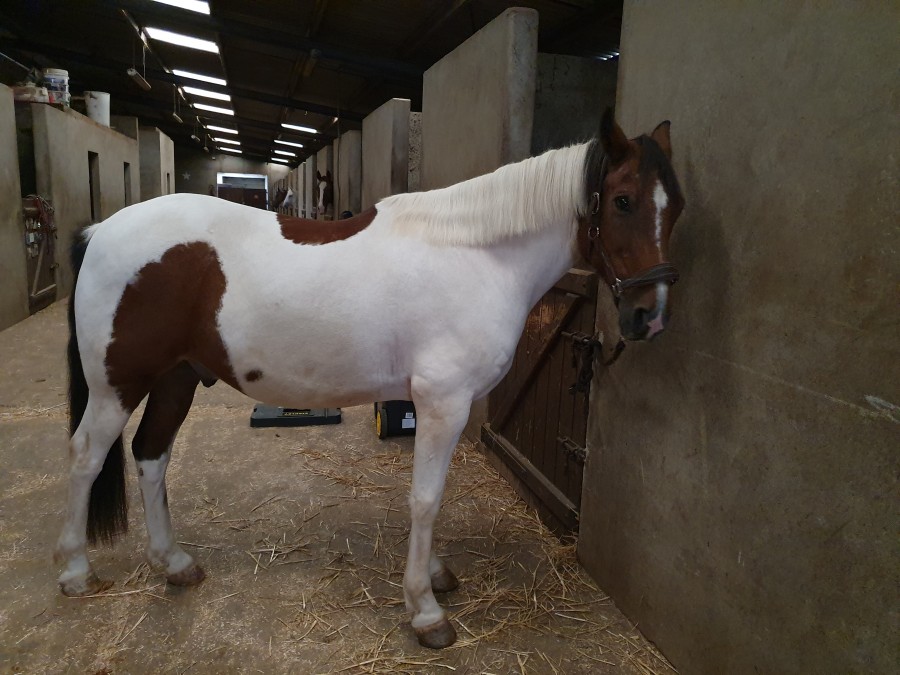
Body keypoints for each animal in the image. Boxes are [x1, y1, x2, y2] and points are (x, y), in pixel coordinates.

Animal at [55, 110, 684, 649]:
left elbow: (431, 494)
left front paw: (435, 574)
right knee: (86, 457)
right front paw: (425, 610)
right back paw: (76, 571)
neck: (479, 255)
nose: (648, 317)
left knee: (151, 454)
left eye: (675, 206)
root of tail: (101, 231)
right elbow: (426, 498)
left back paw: (174, 563)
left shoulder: (432, 404)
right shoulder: (444, 402)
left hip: (176, 379)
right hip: (117, 387)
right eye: (622, 201)